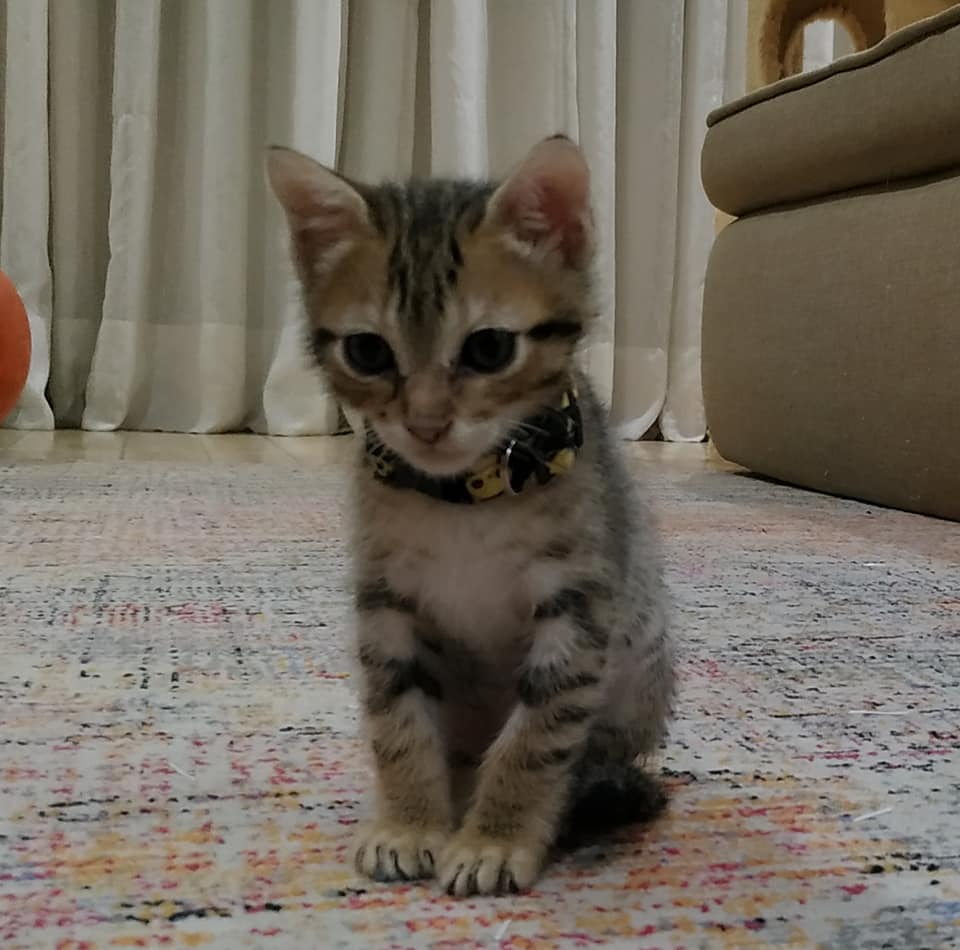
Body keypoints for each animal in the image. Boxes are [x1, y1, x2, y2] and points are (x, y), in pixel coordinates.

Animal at [266, 136, 676, 900]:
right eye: (367, 351)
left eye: (489, 349)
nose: (426, 424)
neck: (465, 499)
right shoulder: (386, 603)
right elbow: (398, 723)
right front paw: (410, 823)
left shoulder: (579, 608)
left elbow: (538, 737)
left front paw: (495, 838)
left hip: (637, 669)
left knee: (593, 759)